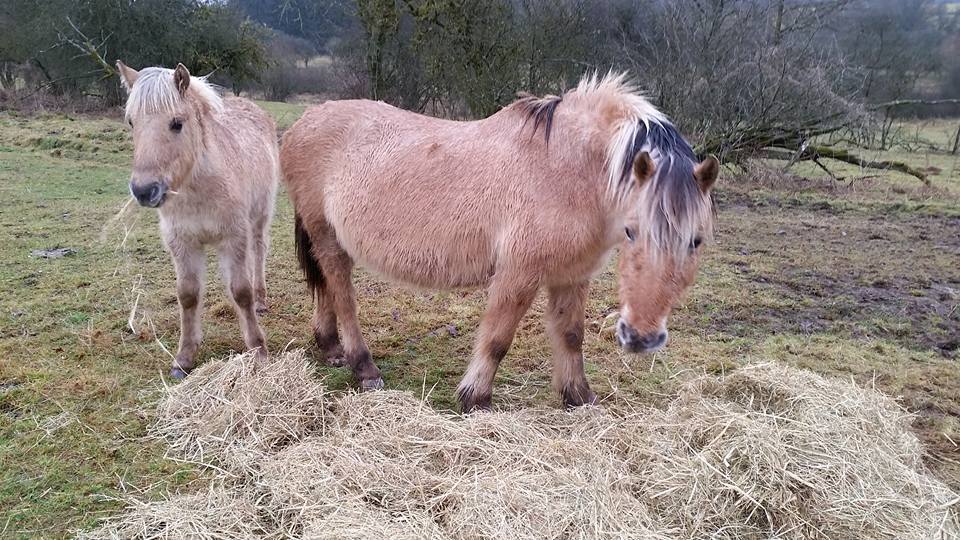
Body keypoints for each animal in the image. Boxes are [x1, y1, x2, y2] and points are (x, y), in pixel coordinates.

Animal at [117, 61, 279, 379]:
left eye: (177, 123)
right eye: (131, 122)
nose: (144, 191)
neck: (200, 188)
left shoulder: (234, 236)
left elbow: (241, 292)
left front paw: (258, 350)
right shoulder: (182, 242)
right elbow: (188, 295)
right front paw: (184, 357)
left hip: (259, 217)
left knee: (258, 253)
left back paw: (261, 300)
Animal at [280, 72, 718, 411]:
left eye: (695, 241)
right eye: (632, 231)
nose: (641, 339)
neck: (570, 171)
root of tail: (303, 121)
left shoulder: (572, 275)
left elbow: (571, 335)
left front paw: (579, 397)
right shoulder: (518, 273)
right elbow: (497, 339)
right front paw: (476, 398)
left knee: (326, 285)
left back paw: (330, 348)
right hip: (327, 234)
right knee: (341, 292)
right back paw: (363, 367)